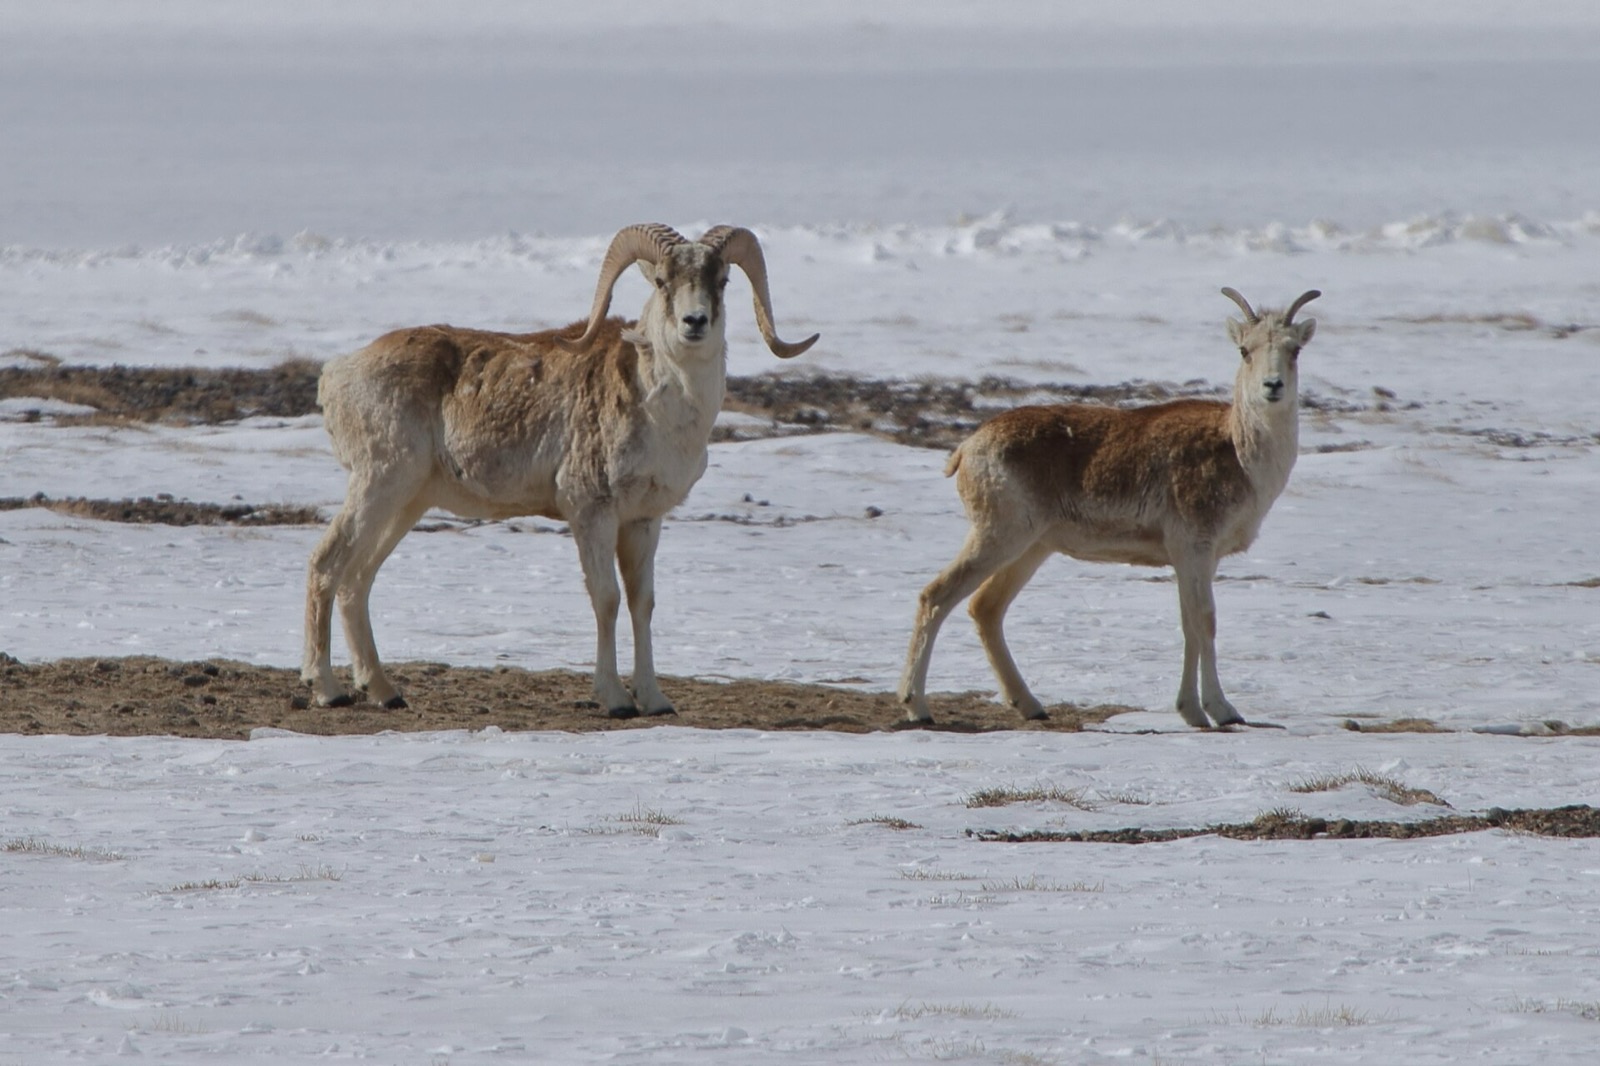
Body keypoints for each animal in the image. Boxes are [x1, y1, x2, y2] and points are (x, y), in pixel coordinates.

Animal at [302, 223, 818, 716]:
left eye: (722, 280)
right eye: (662, 280)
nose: (695, 322)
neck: (663, 411)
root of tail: (337, 374)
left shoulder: (643, 521)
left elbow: (642, 603)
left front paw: (654, 700)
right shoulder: (592, 513)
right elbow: (607, 600)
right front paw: (615, 701)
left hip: (407, 503)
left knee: (357, 581)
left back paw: (385, 693)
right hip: (380, 484)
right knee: (327, 565)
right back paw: (327, 690)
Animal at [897, 287, 1320, 727]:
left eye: (1294, 349)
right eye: (1244, 350)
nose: (1272, 386)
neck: (1239, 453)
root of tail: (966, 449)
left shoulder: (1196, 560)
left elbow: (1190, 624)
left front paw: (1194, 712)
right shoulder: (1193, 551)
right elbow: (1204, 622)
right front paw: (1220, 712)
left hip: (1031, 549)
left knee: (985, 608)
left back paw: (1031, 706)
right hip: (998, 538)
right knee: (936, 597)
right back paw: (918, 709)